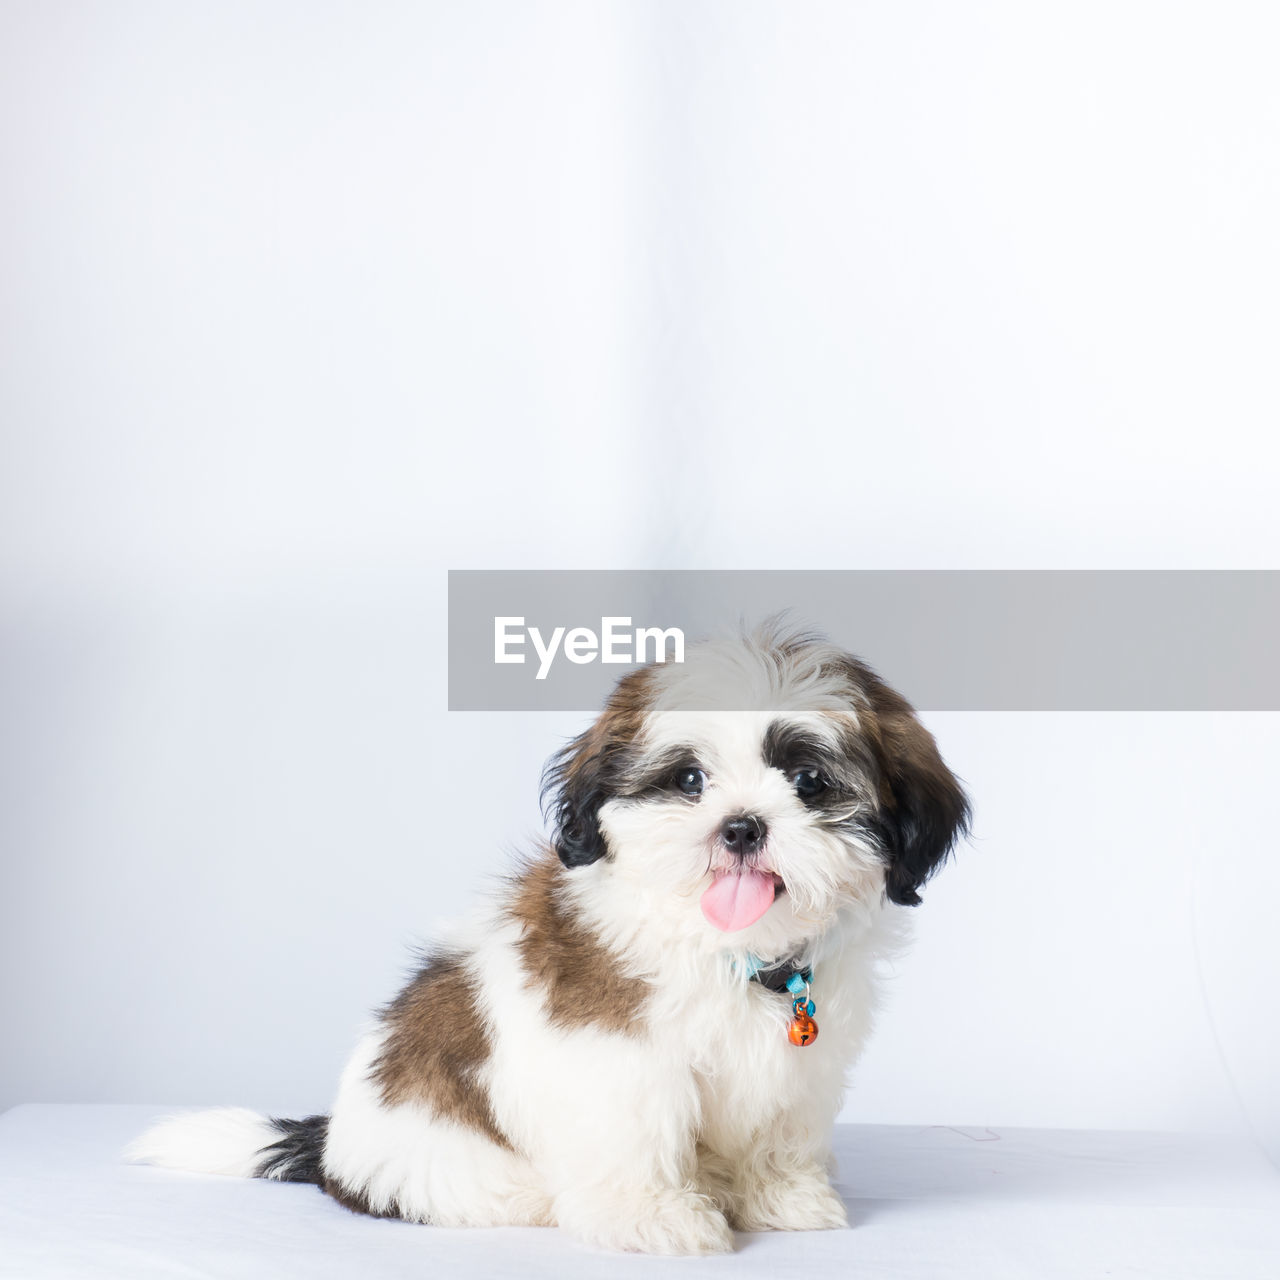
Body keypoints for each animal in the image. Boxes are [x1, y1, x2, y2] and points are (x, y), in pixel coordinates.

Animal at [129, 624, 967, 1254]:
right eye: (689, 780)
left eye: (809, 782)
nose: (740, 827)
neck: (732, 949)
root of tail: (335, 1145)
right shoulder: (615, 1056)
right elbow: (636, 1129)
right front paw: (654, 1217)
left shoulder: (803, 1066)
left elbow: (779, 1129)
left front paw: (783, 1197)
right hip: (456, 1170)